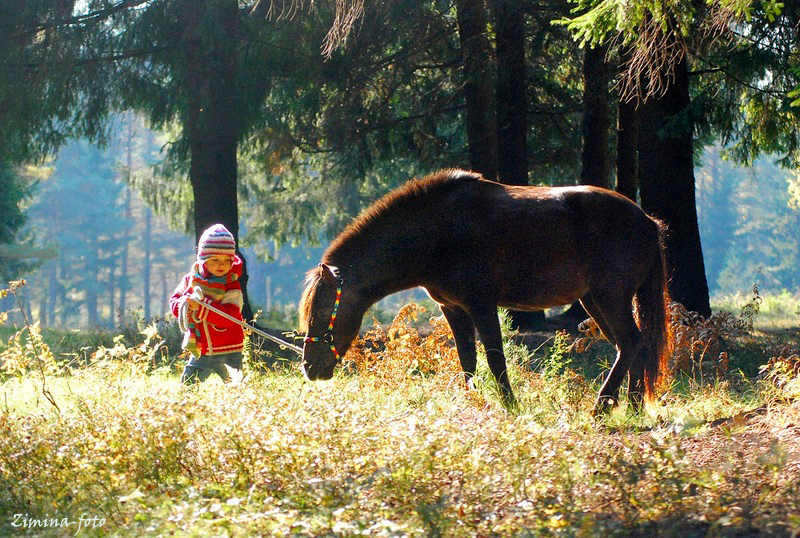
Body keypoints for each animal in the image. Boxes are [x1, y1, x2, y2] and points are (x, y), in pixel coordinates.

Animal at [296, 169, 672, 410]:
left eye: (323, 310)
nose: (309, 367)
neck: (436, 233)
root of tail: (647, 221)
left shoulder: (482, 305)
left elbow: (495, 358)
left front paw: (510, 404)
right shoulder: (453, 308)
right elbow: (468, 360)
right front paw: (470, 399)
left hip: (611, 298)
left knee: (631, 342)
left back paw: (603, 406)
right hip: (595, 300)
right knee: (633, 344)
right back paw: (633, 406)